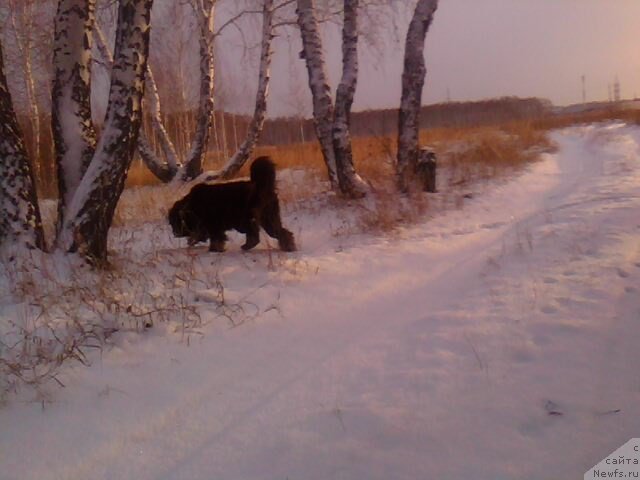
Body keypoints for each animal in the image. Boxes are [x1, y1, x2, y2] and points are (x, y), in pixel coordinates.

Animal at [169, 158, 298, 255]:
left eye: (175, 223)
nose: (174, 233)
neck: (191, 205)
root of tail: (262, 187)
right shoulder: (207, 226)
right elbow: (203, 235)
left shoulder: (212, 224)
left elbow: (215, 238)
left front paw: (213, 250)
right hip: (268, 218)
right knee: (281, 232)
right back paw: (288, 246)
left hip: (250, 218)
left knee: (256, 236)